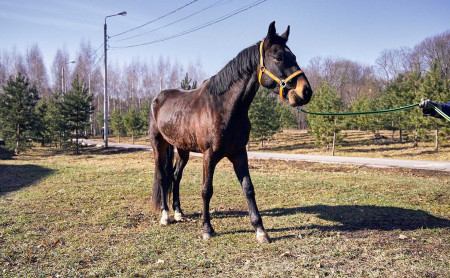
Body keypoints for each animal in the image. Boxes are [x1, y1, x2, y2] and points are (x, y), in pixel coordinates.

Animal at [149, 21, 312, 243]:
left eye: (293, 56)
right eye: (278, 57)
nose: (306, 91)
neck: (224, 107)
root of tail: (157, 98)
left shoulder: (239, 153)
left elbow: (248, 188)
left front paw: (260, 231)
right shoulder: (209, 156)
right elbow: (206, 190)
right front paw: (207, 229)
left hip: (182, 149)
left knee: (175, 176)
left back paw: (179, 213)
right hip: (159, 145)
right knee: (162, 176)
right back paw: (165, 216)